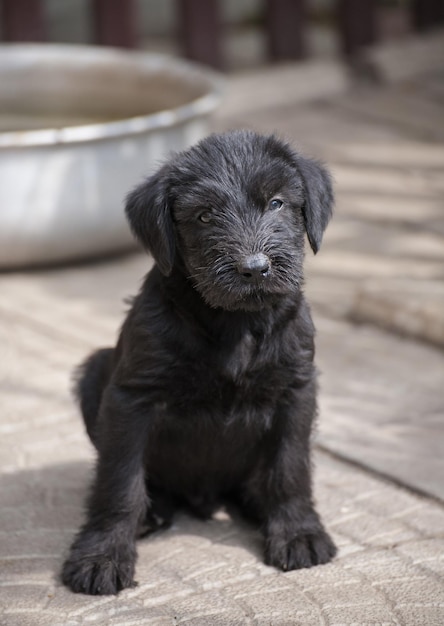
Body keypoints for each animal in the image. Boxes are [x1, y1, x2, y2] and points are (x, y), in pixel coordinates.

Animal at [60, 129, 334, 592]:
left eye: (276, 203)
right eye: (205, 216)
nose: (254, 268)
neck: (234, 323)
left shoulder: (296, 389)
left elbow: (289, 467)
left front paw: (299, 532)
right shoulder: (132, 398)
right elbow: (119, 482)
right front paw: (102, 555)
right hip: (95, 371)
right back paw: (153, 513)